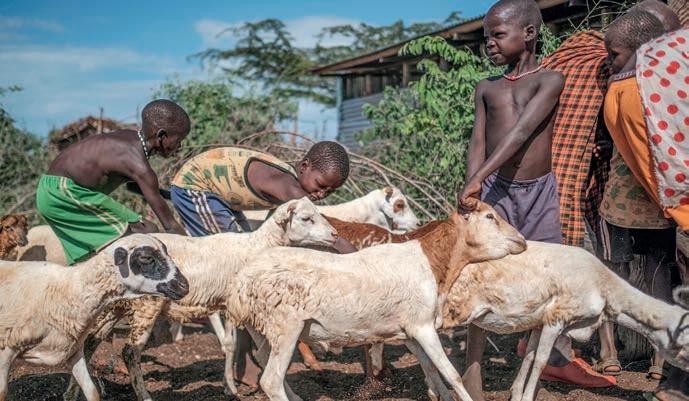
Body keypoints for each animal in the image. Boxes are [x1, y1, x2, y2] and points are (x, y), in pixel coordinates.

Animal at [0, 233, 189, 401]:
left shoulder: (74, 351)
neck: (67, 290)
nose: (184, 286)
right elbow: (2, 393)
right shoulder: (5, 351)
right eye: (145, 258)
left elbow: (92, 392)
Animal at [64, 197, 339, 401]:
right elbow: (233, 344)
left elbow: (259, 351)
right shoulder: (234, 305)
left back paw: (73, 393)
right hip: (146, 304)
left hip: (115, 307)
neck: (258, 246)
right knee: (130, 352)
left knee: (88, 343)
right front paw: (232, 387)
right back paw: (143, 395)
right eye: (306, 218)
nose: (335, 235)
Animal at [224, 201, 526, 401]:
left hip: (262, 328)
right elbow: (451, 373)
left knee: (265, 361)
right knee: (271, 381)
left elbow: (431, 370)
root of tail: (243, 279)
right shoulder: (422, 327)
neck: (431, 261)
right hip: (286, 327)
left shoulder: (409, 332)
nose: (521, 240)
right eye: (490, 216)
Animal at [440, 241, 689, 401]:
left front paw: (517, 394)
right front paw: (527, 396)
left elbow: (529, 356)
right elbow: (541, 361)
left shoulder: (539, 322)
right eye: (685, 339)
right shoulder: (555, 318)